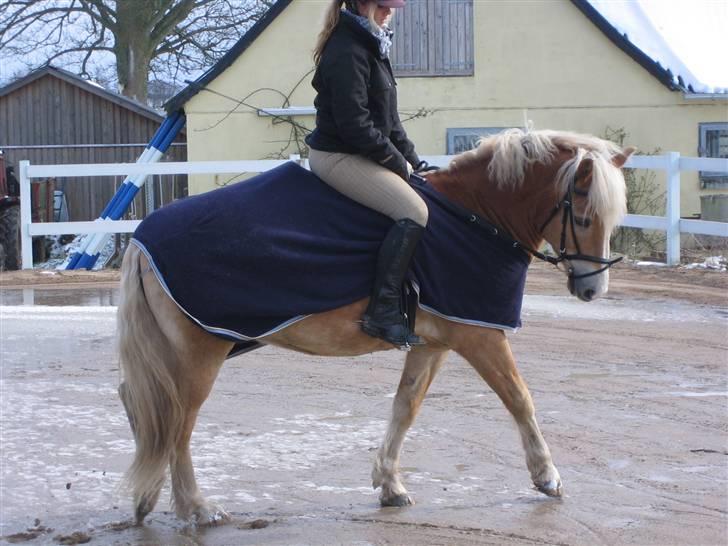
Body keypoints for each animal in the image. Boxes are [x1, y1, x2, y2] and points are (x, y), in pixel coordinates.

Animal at [118, 127, 632, 524]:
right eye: (583, 215)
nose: (593, 290)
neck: (475, 217)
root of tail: (142, 239)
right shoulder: (480, 335)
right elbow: (519, 398)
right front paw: (547, 476)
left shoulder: (432, 344)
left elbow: (406, 407)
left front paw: (390, 485)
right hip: (199, 354)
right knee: (178, 423)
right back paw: (197, 507)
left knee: (141, 404)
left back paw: (146, 498)